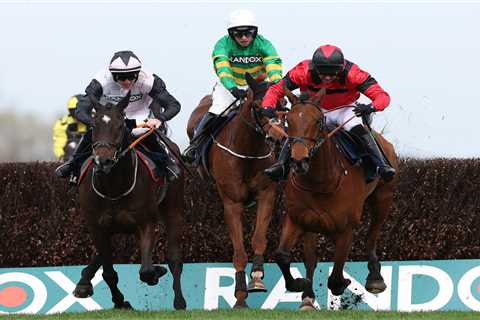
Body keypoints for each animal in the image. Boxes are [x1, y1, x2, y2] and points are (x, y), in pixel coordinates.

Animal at [72, 93, 186, 310]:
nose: (103, 161)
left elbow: (146, 271)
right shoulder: (97, 226)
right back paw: (83, 283)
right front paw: (120, 301)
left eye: (120, 125)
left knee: (175, 258)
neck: (113, 187)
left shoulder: (146, 222)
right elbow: (108, 273)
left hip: (173, 208)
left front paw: (156, 272)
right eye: (93, 126)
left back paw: (179, 301)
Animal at [188, 74, 278, 308]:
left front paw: (257, 277)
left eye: (283, 104)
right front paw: (239, 297)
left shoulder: (267, 194)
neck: (248, 151)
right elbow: (238, 252)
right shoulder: (232, 203)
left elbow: (258, 238)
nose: (277, 137)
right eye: (258, 106)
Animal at [272, 85, 400, 310]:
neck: (320, 181)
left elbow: (335, 275)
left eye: (317, 121)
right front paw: (298, 284)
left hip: (383, 198)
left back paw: (375, 277)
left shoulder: (346, 227)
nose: (299, 160)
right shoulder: (297, 219)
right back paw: (307, 297)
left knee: (371, 236)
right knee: (311, 259)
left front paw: (343, 284)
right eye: (289, 120)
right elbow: (282, 255)